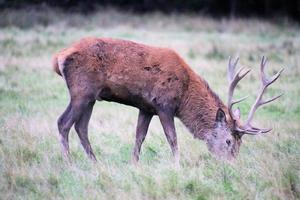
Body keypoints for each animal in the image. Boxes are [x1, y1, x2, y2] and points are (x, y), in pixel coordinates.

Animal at [52, 37, 284, 166]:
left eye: (240, 143)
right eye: (228, 141)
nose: (231, 165)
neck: (185, 94)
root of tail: (58, 57)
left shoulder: (146, 107)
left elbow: (139, 137)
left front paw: (134, 165)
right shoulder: (164, 105)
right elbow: (172, 139)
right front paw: (177, 165)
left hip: (91, 97)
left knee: (81, 127)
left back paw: (95, 163)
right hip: (82, 91)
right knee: (63, 123)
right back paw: (69, 163)